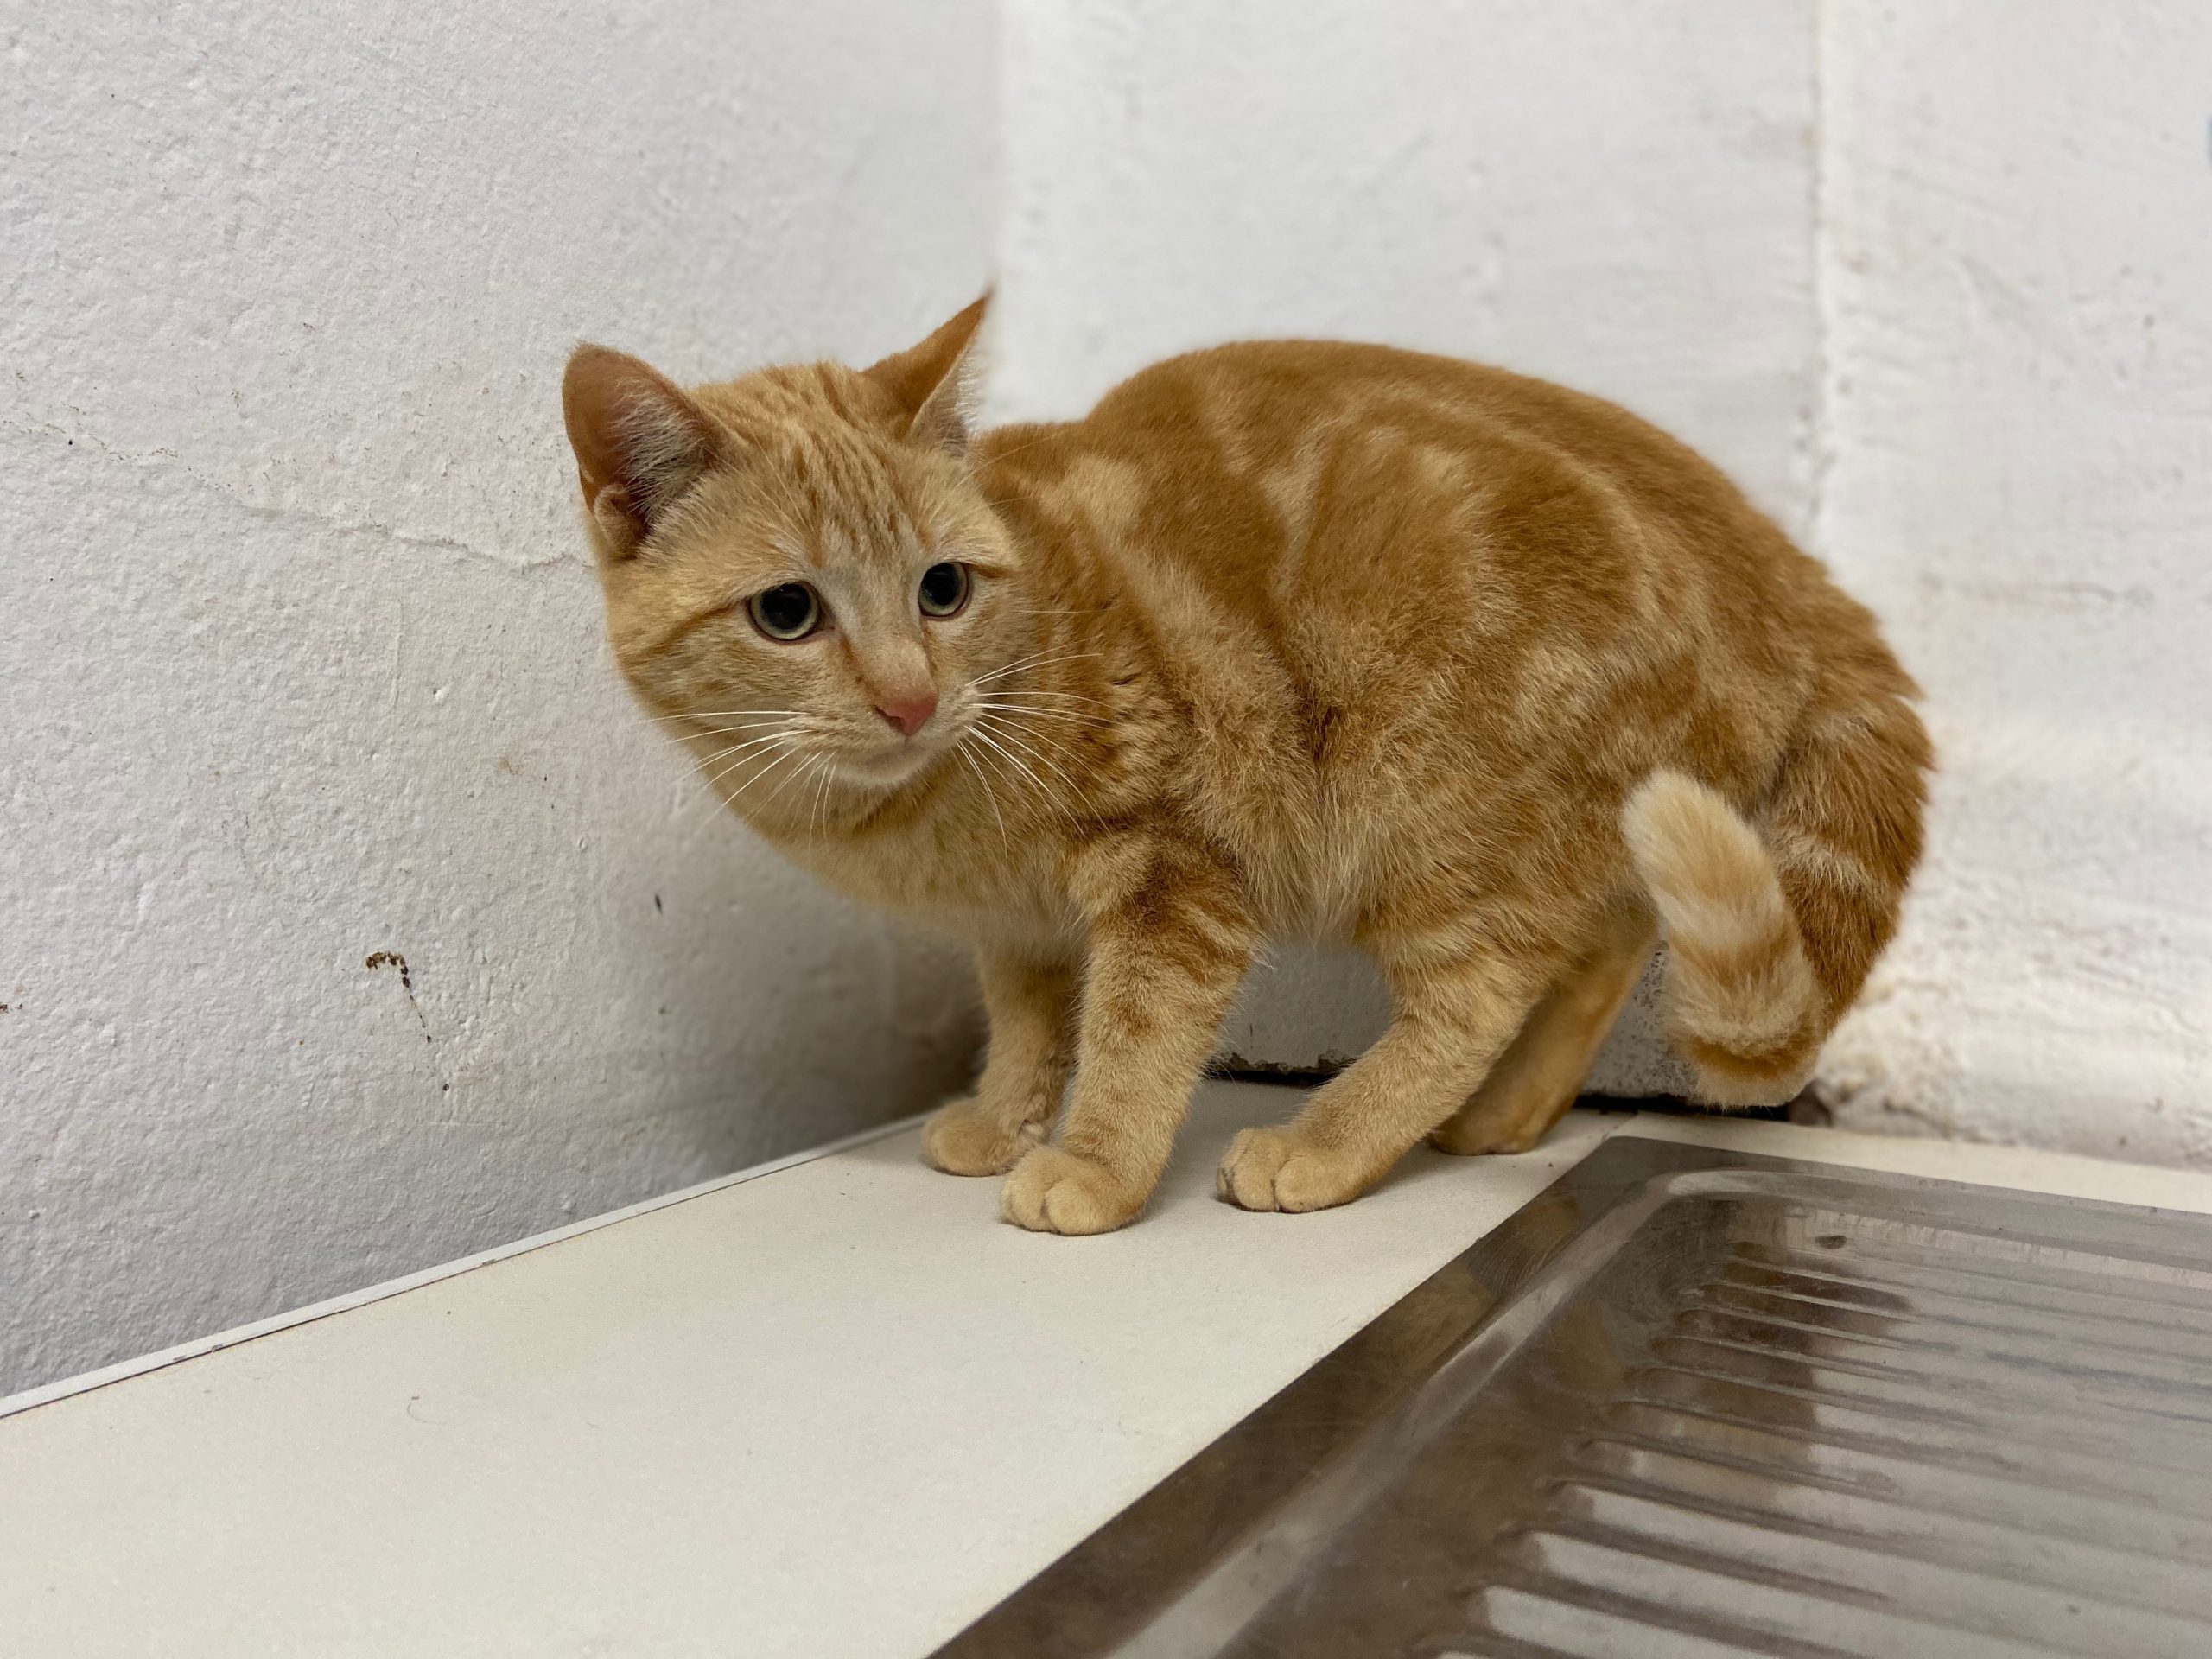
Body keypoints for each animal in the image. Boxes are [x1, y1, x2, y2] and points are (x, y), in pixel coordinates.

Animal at [561, 296, 1929, 1234]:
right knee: (1604, 944)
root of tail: (1785, 568)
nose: (909, 696)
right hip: (1592, 822)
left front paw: (1095, 1167)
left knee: (1478, 995)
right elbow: (1029, 1033)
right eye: (788, 613)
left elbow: (1133, 1034)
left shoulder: (1177, 869)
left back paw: (1332, 1142)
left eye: (941, 589)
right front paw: (1003, 1123)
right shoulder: (1020, 931)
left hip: (1435, 815)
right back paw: (1510, 1117)